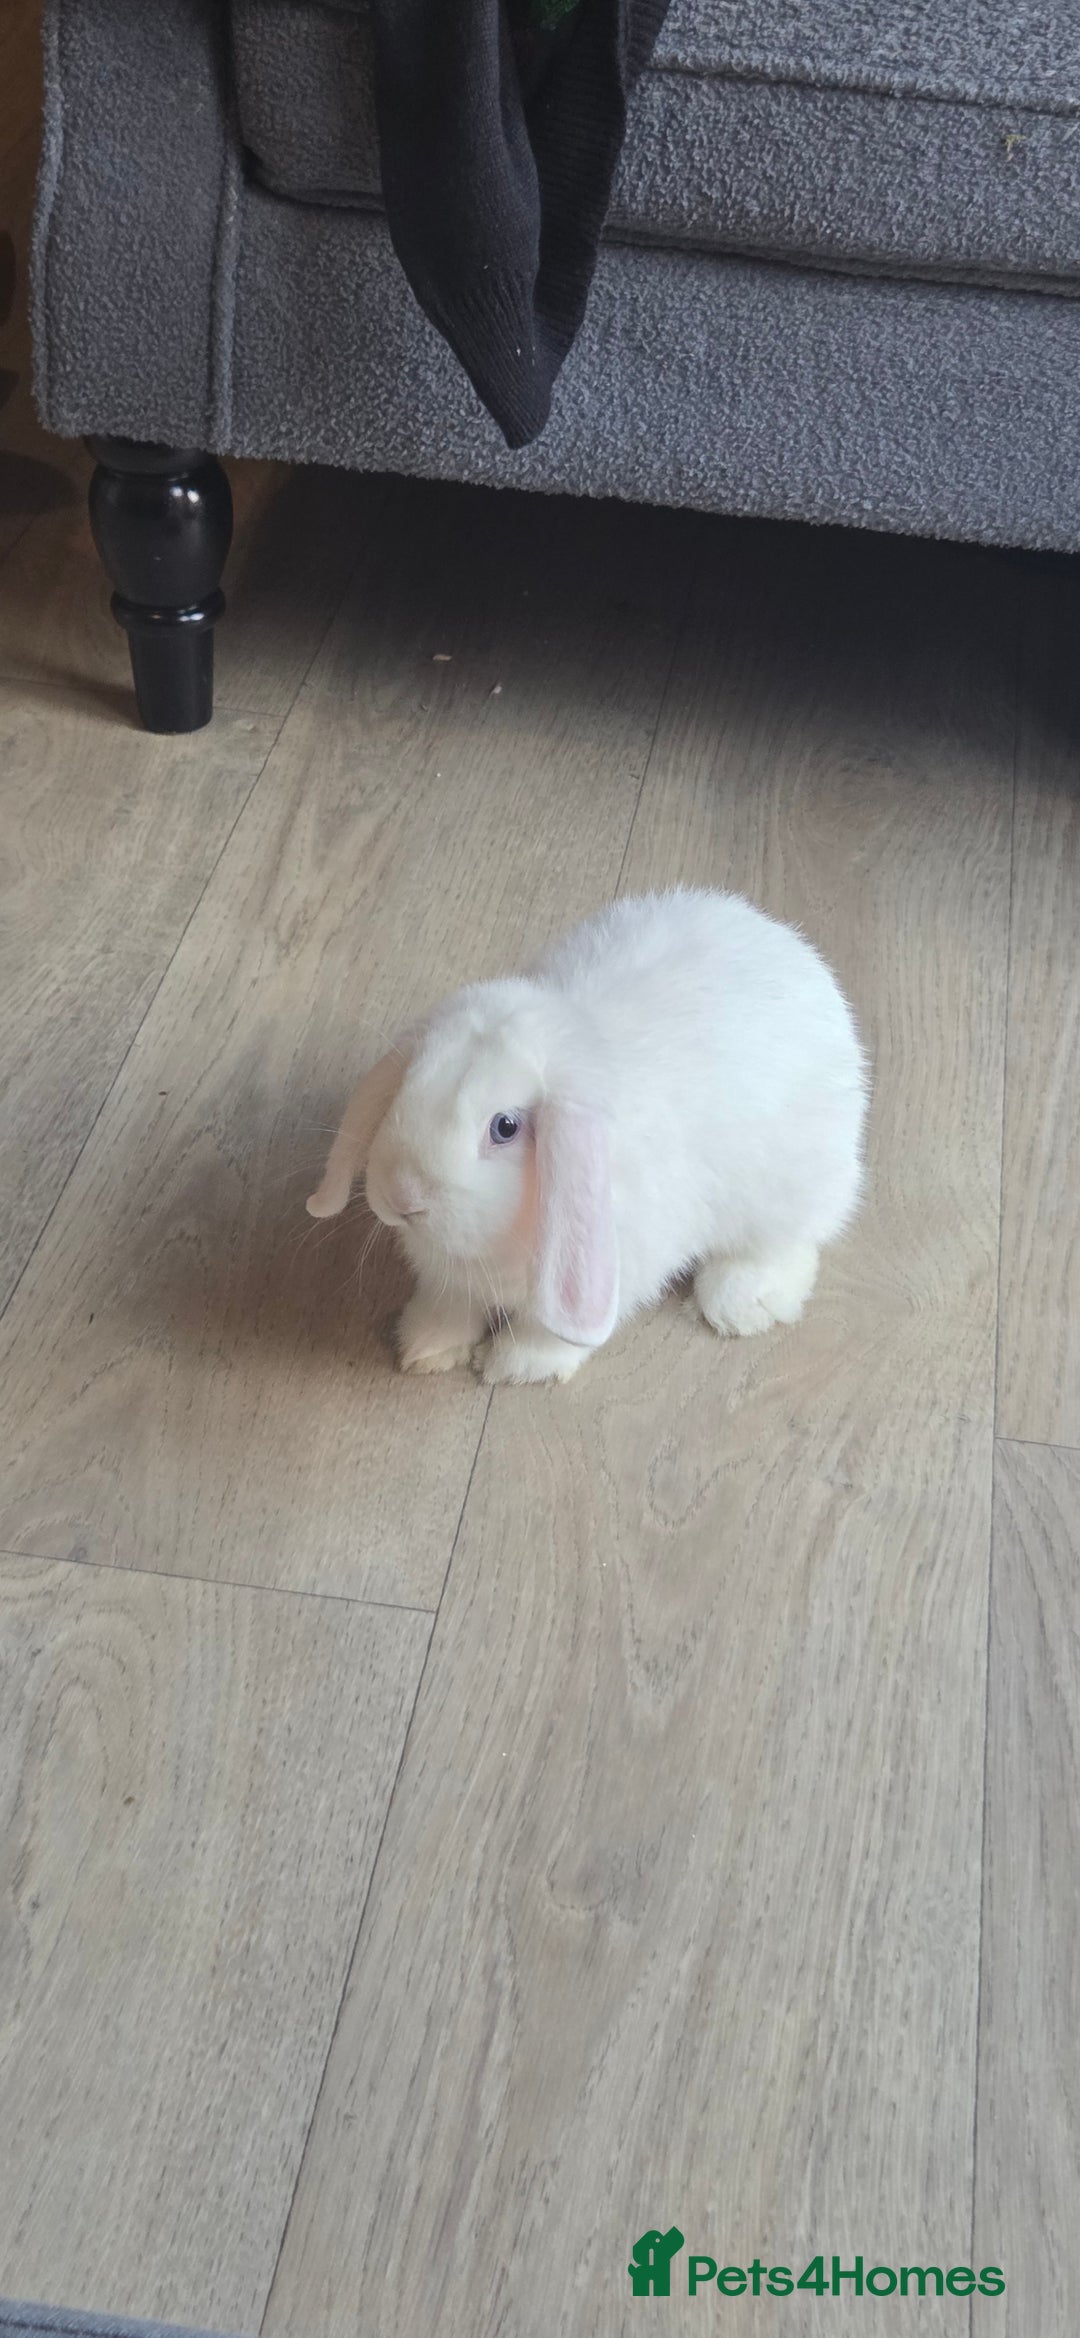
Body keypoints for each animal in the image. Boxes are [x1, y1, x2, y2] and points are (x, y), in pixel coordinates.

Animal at [307, 889, 868, 1385]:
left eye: (505, 1127)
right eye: (408, 1083)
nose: (402, 1198)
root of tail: (790, 946)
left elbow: (549, 1331)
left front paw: (515, 1368)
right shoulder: (448, 1279)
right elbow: (448, 1305)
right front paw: (426, 1348)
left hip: (787, 1192)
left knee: (785, 1248)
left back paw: (740, 1305)